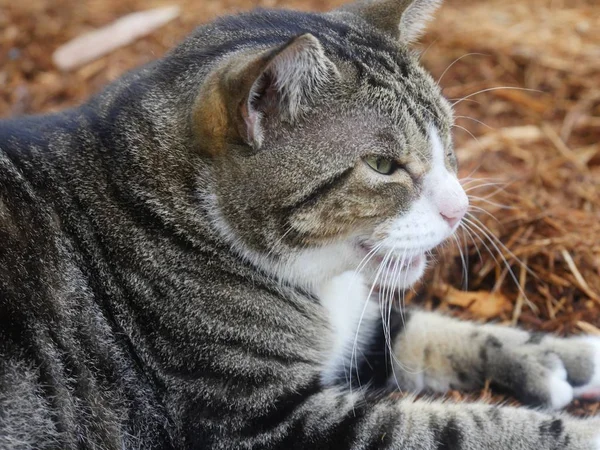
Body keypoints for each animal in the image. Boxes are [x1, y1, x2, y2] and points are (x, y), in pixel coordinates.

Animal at [1, 0, 600, 448]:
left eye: (447, 139)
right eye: (382, 166)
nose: (459, 210)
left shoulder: (356, 329)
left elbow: (416, 328)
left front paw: (558, 354)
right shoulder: (261, 422)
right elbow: (464, 426)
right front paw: (578, 432)